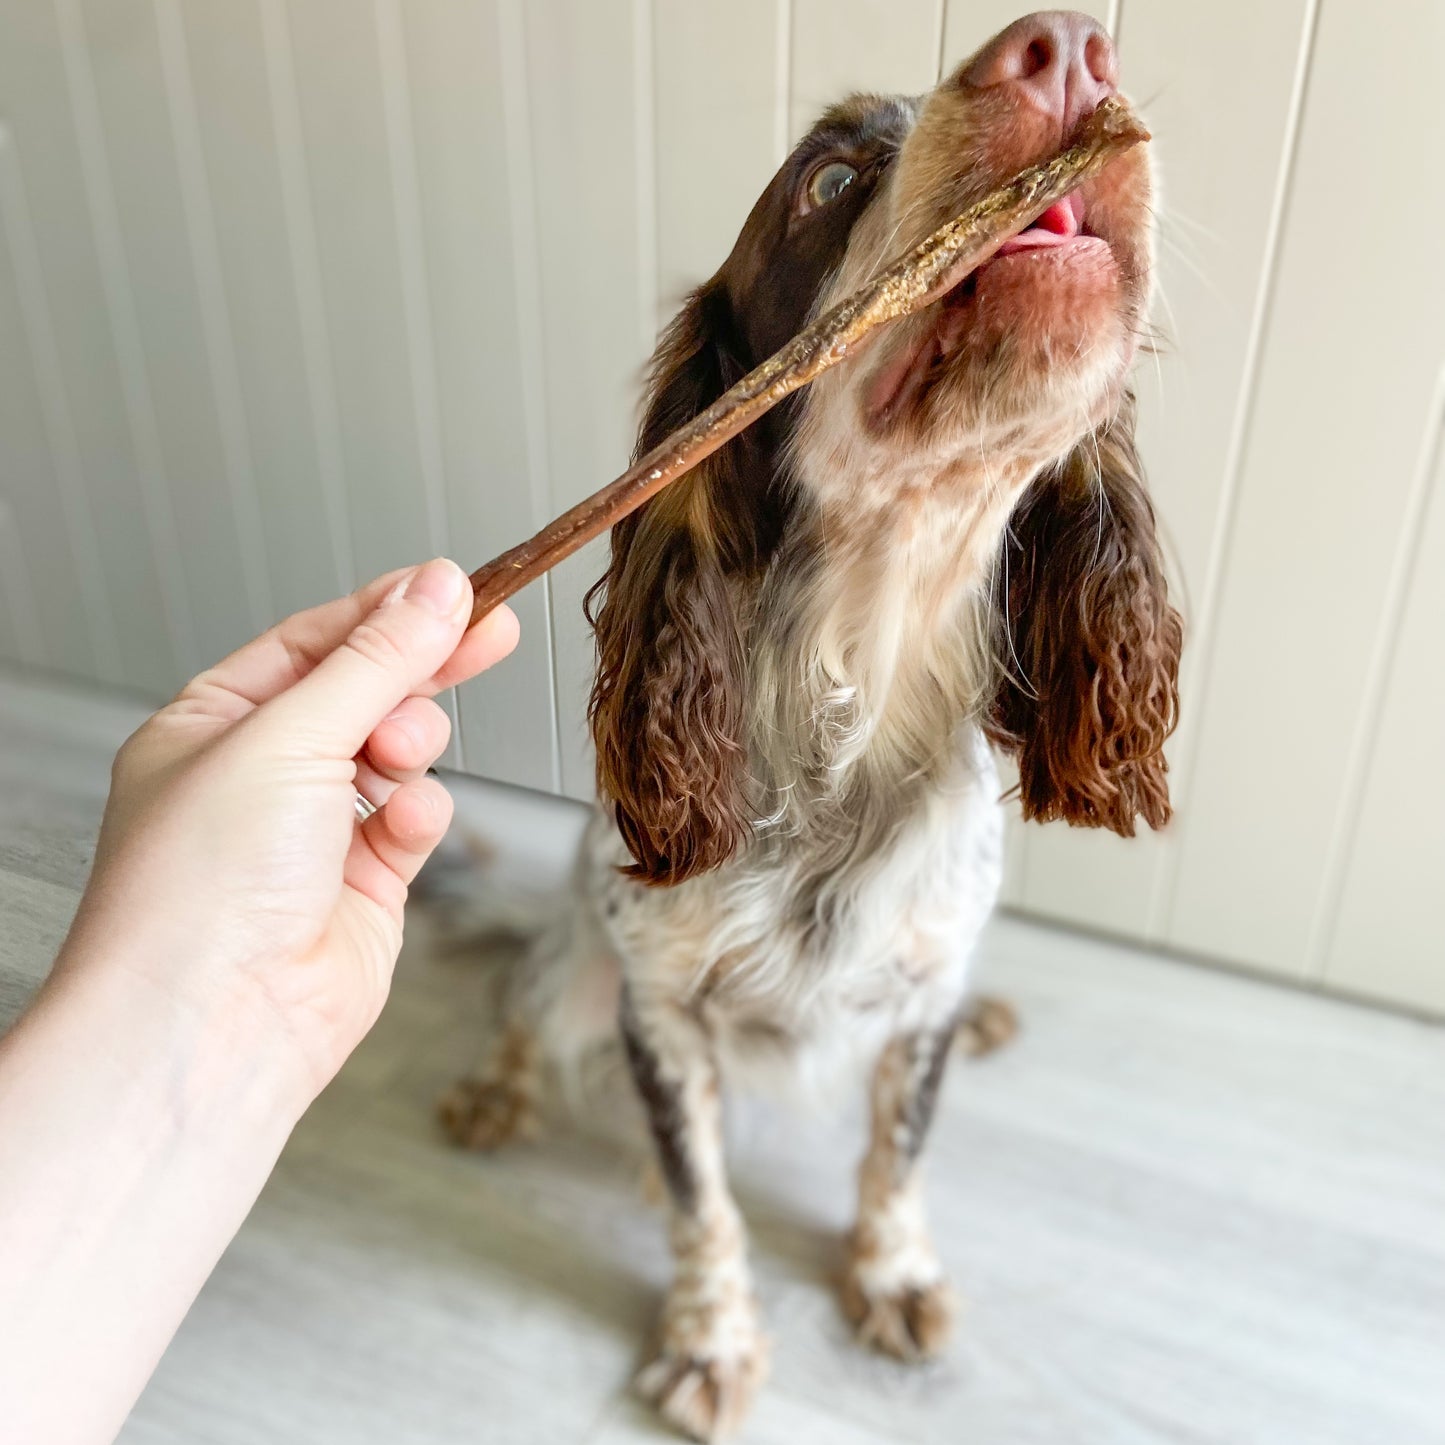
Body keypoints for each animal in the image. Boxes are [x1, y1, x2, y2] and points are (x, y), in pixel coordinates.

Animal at [436, 8, 1173, 1433]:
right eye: (826, 180)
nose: (1066, 46)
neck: (855, 701)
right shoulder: (661, 1019)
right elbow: (700, 1205)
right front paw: (711, 1340)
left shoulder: (918, 1000)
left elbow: (895, 1156)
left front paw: (889, 1275)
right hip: (585, 959)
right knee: (528, 986)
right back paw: (495, 1087)